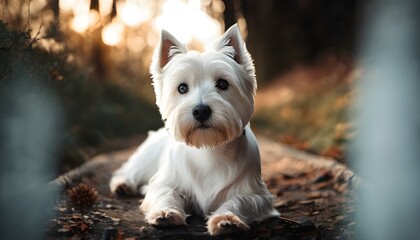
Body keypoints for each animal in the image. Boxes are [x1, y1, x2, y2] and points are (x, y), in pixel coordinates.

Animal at [110, 24, 278, 236]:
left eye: (222, 83)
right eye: (182, 88)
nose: (201, 111)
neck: (208, 148)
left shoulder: (256, 194)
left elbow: (239, 200)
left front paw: (227, 220)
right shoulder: (166, 182)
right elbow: (166, 192)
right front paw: (166, 213)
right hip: (147, 158)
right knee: (131, 169)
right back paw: (122, 185)